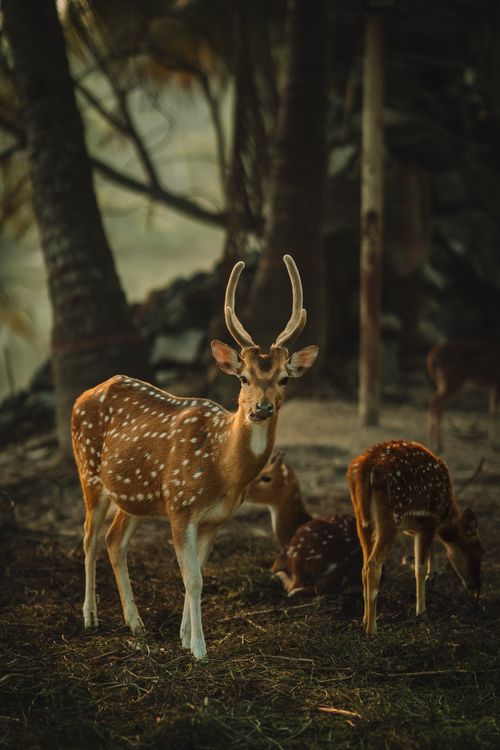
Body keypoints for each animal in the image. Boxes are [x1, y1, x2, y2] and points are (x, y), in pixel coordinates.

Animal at [72, 255, 318, 659]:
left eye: (284, 378)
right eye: (244, 378)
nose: (261, 408)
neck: (222, 468)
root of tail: (82, 396)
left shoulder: (214, 519)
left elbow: (197, 574)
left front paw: (185, 638)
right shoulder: (181, 506)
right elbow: (193, 578)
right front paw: (200, 650)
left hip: (134, 497)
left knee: (114, 539)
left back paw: (136, 624)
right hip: (88, 471)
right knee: (89, 536)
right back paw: (90, 618)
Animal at [245, 453, 362, 596]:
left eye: (266, 477)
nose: (243, 491)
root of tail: (343, 565)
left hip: (297, 551)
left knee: (294, 587)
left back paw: (280, 577)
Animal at [347, 439, 483, 635]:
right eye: (480, 549)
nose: (476, 587)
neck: (446, 516)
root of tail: (365, 468)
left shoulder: (418, 528)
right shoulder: (428, 522)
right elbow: (420, 568)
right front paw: (422, 613)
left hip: (362, 519)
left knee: (364, 566)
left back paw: (365, 620)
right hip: (391, 514)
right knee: (373, 565)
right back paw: (372, 629)